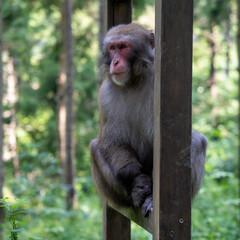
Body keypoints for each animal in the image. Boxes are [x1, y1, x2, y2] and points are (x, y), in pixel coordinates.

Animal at [89, 23, 207, 217]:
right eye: (112, 48)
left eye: (123, 46)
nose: (115, 62)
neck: (134, 82)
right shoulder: (105, 94)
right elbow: (112, 141)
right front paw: (135, 177)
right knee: (95, 147)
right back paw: (135, 193)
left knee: (197, 141)